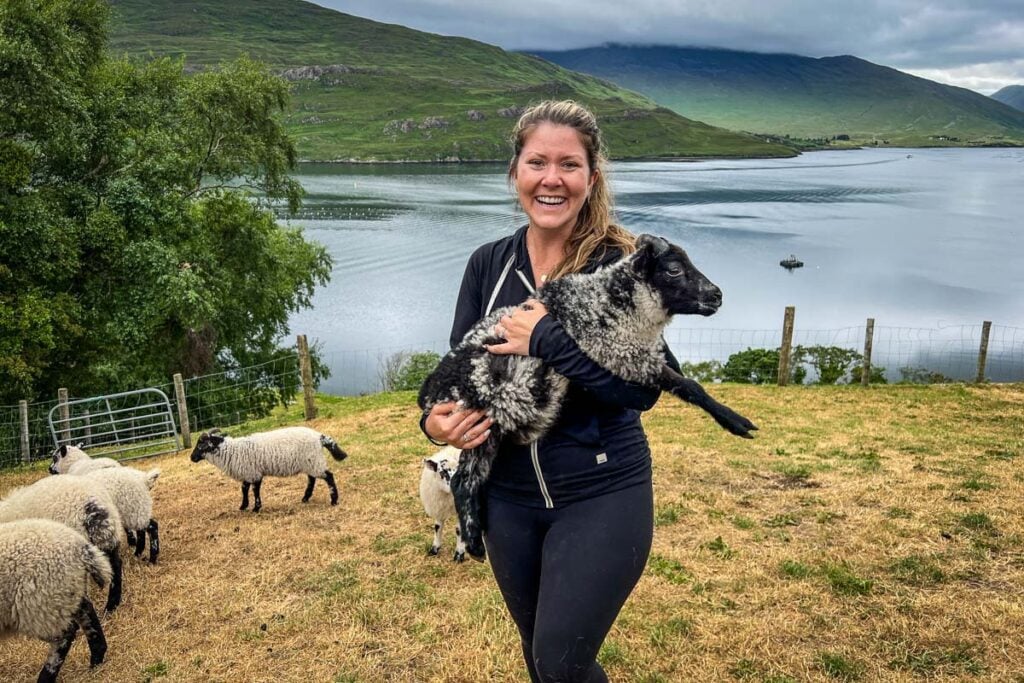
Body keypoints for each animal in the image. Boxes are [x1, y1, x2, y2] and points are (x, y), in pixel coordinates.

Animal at [0, 518, 112, 683]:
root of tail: (81, 548)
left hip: (40, 605)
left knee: (65, 636)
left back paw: (46, 677)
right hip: (65, 593)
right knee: (87, 613)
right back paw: (97, 658)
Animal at [190, 428, 350, 511]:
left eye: (201, 444)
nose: (191, 458)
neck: (233, 451)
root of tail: (319, 437)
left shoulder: (254, 473)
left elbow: (255, 490)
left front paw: (256, 508)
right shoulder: (248, 472)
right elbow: (244, 489)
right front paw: (243, 506)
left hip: (314, 461)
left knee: (329, 476)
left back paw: (334, 500)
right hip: (310, 462)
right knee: (312, 479)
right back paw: (305, 498)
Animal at [417, 235, 761, 561]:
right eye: (674, 269)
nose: (717, 295)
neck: (612, 300)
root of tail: (430, 392)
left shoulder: (640, 353)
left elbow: (679, 373)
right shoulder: (622, 355)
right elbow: (689, 386)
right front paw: (737, 423)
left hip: (487, 429)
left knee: (466, 480)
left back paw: (475, 544)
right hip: (484, 416)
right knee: (463, 480)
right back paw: (473, 541)